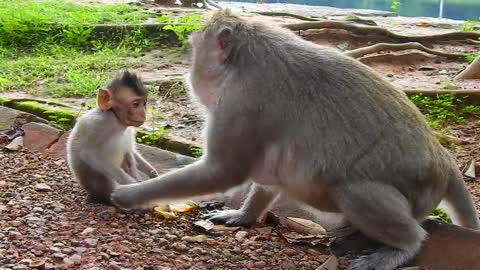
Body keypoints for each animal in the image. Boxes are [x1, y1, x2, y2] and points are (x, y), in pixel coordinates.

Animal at [66, 70, 158, 204]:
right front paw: (133, 184)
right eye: (136, 104)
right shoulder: (96, 125)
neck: (116, 120)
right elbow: (89, 155)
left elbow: (130, 150)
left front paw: (152, 173)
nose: (143, 113)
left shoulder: (128, 129)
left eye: (144, 103)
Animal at [110, 11, 478, 270]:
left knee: (355, 190)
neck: (246, 60)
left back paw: (403, 246)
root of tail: (445, 162)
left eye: (195, 50)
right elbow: (267, 173)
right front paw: (245, 215)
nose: (189, 72)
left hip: (414, 197)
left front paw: (130, 195)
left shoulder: (241, 102)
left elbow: (224, 171)